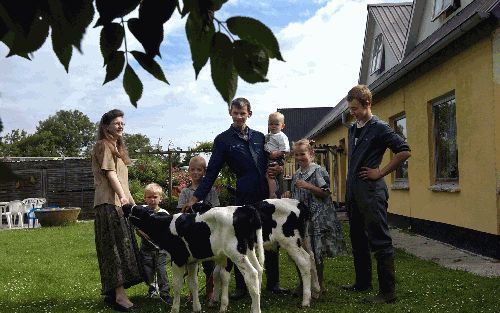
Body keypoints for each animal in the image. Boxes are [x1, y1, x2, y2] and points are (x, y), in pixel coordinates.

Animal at [122, 204, 264, 312]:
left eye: (136, 209)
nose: (125, 206)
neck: (165, 226)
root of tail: (244, 208)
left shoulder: (178, 259)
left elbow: (177, 284)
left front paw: (174, 309)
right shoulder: (192, 261)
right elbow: (193, 284)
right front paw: (196, 307)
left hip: (236, 252)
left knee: (252, 274)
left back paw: (256, 310)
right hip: (249, 249)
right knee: (259, 269)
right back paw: (253, 305)